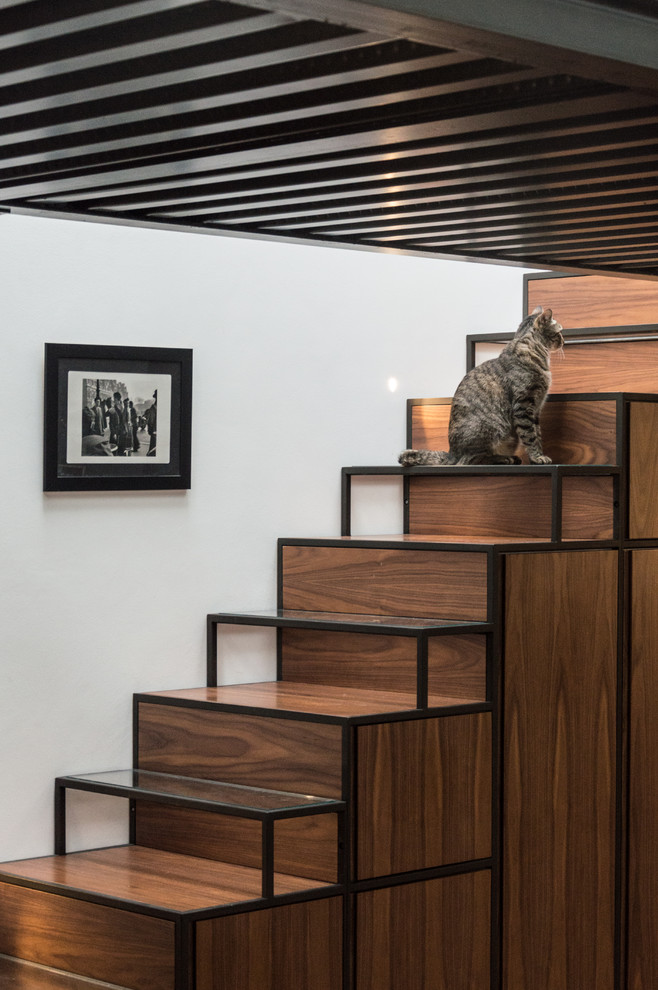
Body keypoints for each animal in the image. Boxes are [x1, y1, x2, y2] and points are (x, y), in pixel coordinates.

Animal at [398, 308, 560, 466]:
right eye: (559, 332)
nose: (562, 341)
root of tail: (452, 453)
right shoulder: (523, 405)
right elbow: (530, 436)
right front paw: (537, 457)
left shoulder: (536, 408)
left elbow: (537, 434)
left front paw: (537, 456)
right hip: (491, 429)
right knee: (472, 460)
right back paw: (504, 459)